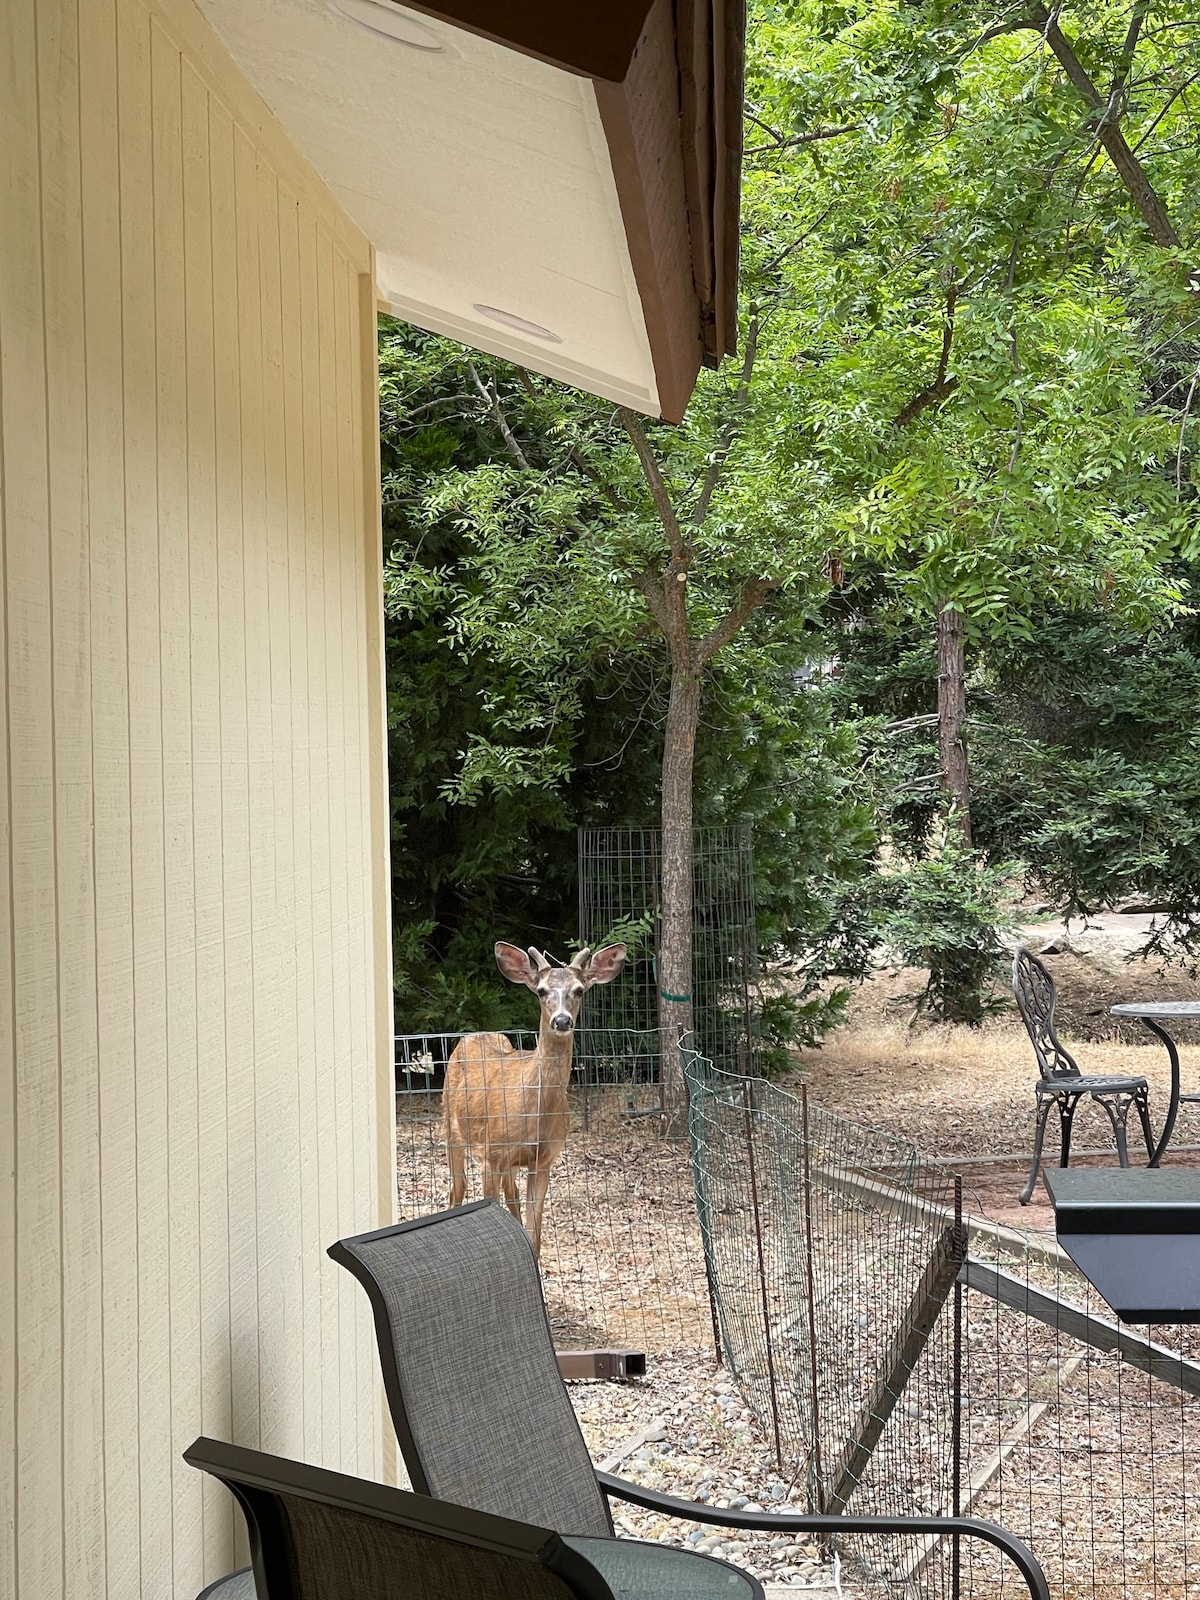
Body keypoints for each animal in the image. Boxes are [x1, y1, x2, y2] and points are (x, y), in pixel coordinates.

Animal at [444, 934, 630, 1260]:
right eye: (541, 991)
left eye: (579, 990)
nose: (562, 1020)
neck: (533, 1112)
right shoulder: (491, 1154)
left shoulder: (543, 1158)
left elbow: (535, 1236)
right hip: (450, 1126)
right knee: (457, 1189)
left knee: (511, 1193)